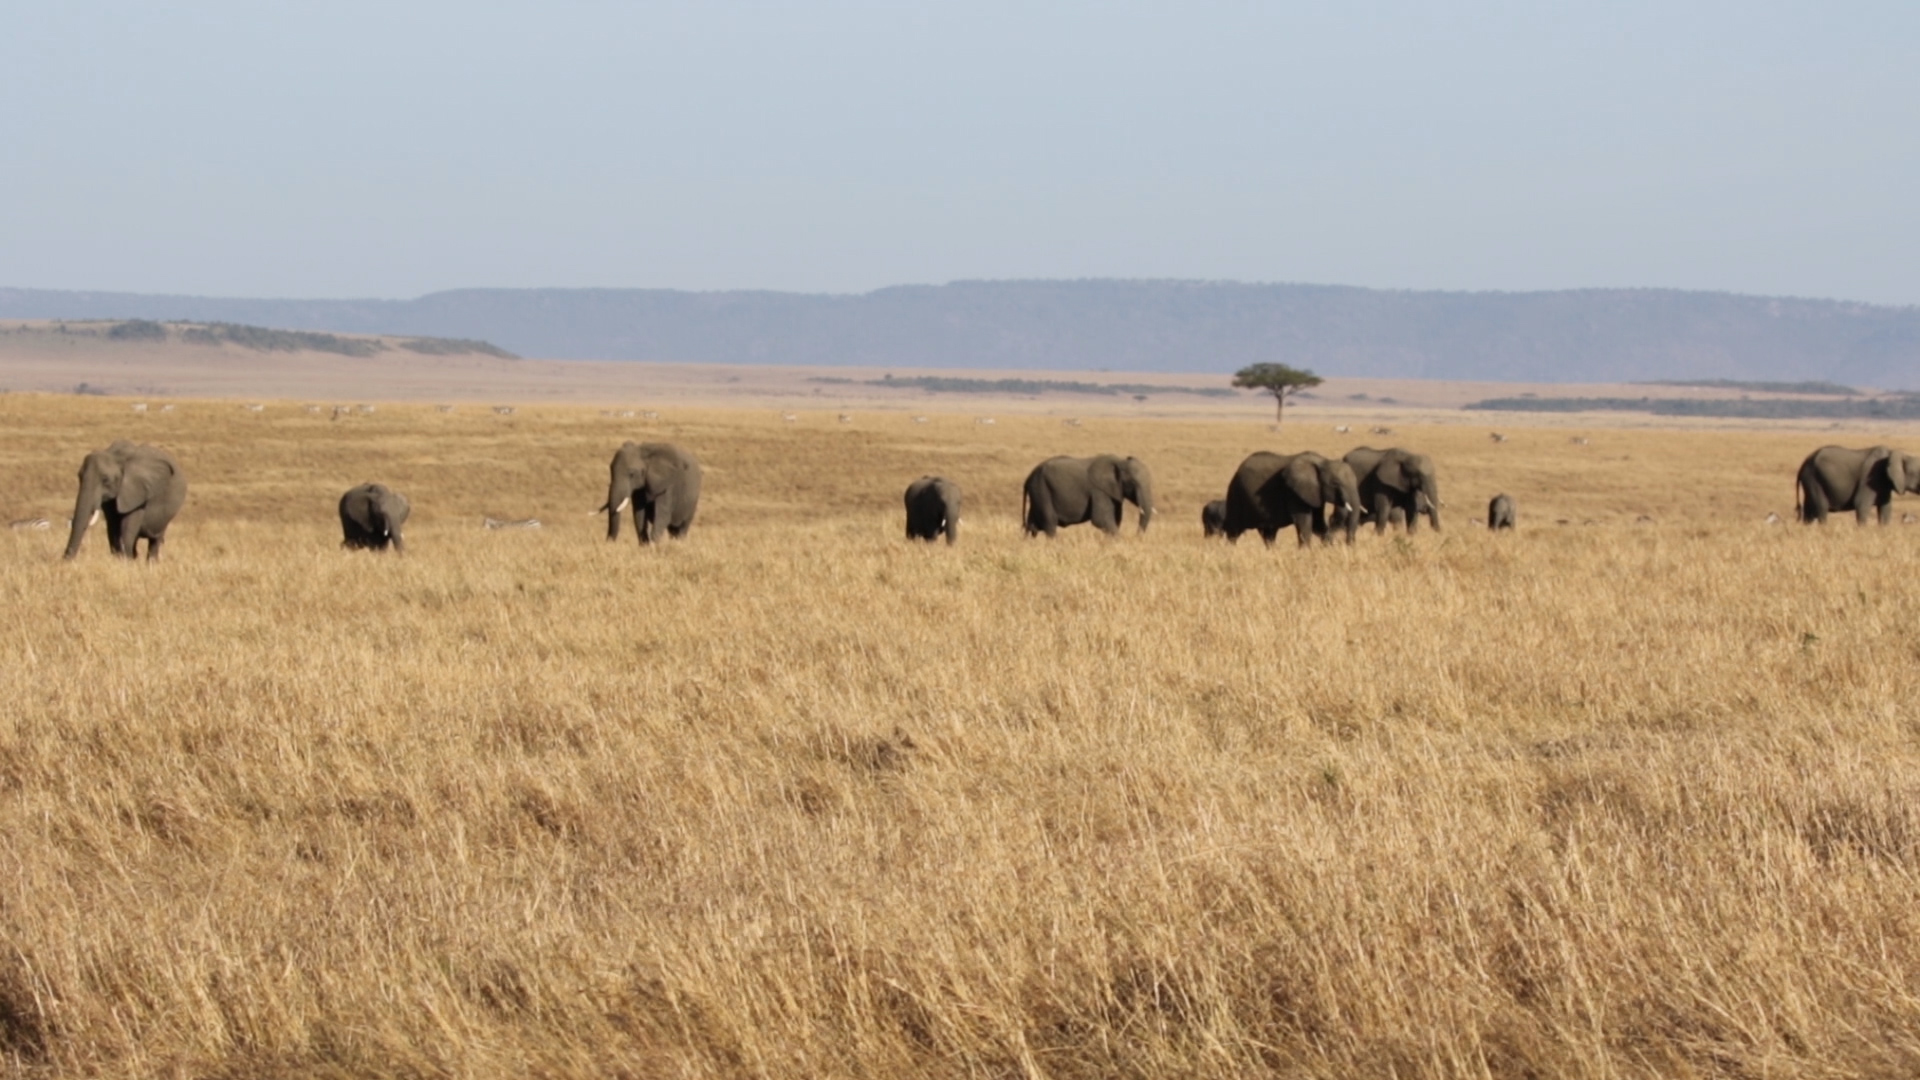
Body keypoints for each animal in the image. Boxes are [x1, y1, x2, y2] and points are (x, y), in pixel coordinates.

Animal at [1021, 451, 1152, 534]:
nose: (1137, 536)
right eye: (1133, 483)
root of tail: (1028, 477)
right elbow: (1100, 519)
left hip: (1037, 492)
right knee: (1050, 524)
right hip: (1042, 490)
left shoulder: (1113, 492)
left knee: (1032, 526)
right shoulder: (1099, 491)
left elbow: (1116, 520)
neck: (1120, 462)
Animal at [1221, 447, 1359, 541]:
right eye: (1335, 483)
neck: (1323, 461)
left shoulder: (1315, 493)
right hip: (1236, 494)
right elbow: (1304, 524)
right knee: (1234, 531)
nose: (1348, 544)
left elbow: (1318, 524)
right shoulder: (1294, 493)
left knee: (1269, 534)